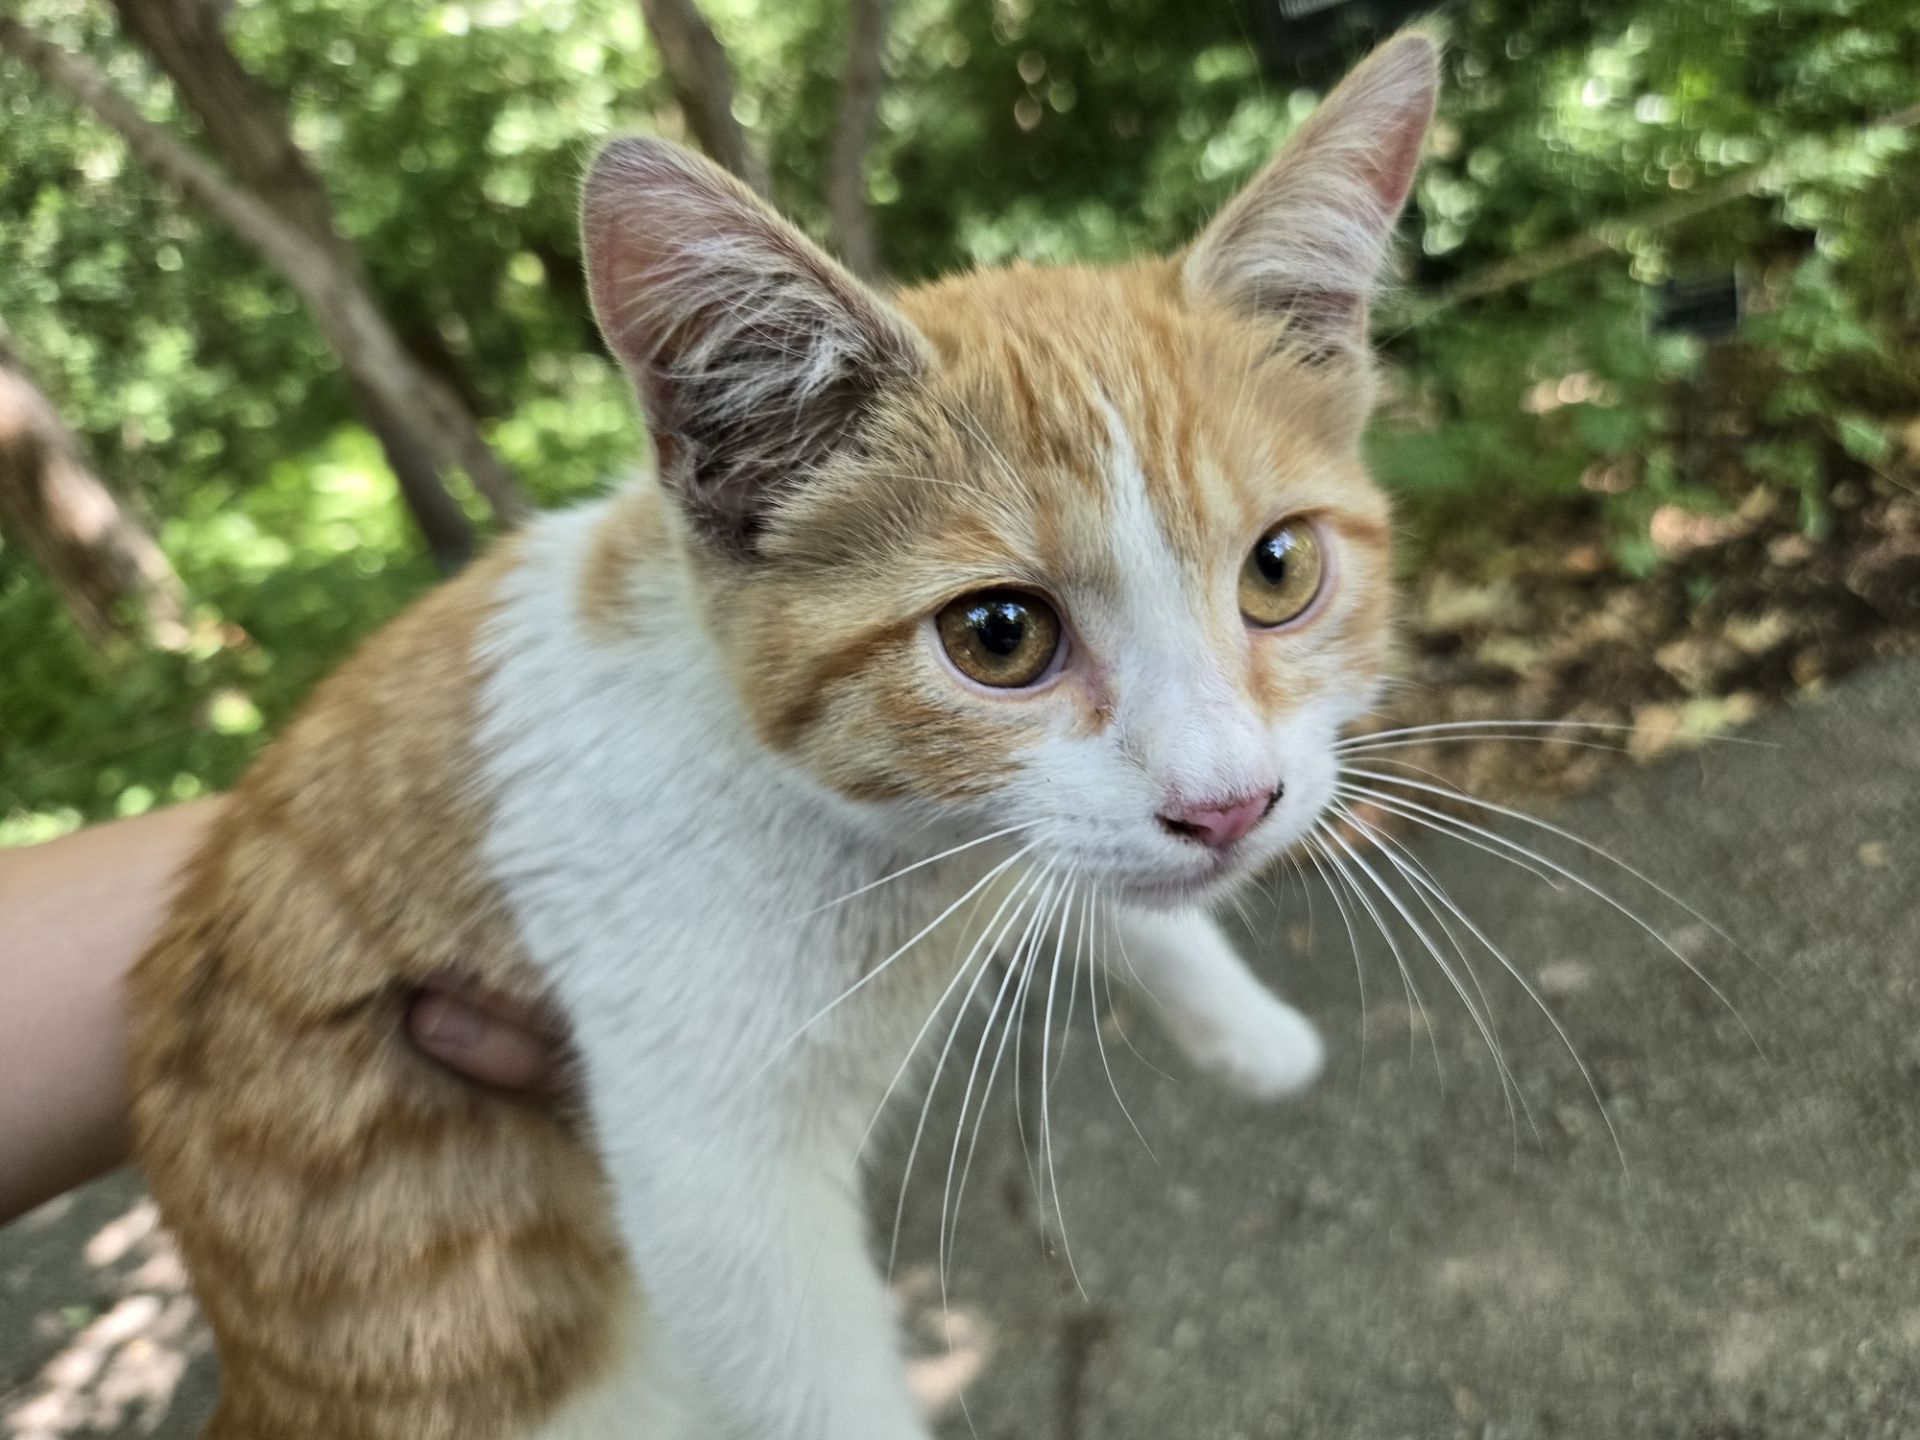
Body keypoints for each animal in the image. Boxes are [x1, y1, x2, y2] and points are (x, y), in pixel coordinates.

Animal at [127, 30, 1436, 1440]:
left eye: (1280, 569)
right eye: (998, 636)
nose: (1231, 804)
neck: (879, 848)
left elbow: (1094, 883)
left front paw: (1243, 1026)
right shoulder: (717, 1184)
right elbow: (809, 1378)